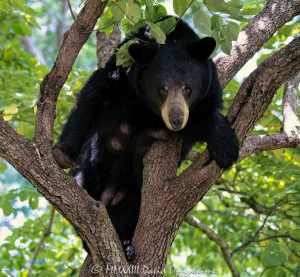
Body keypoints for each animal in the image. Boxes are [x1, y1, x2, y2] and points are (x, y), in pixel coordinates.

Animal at [55, 16, 239, 258]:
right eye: (162, 89)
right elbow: (91, 98)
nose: (176, 120)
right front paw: (63, 153)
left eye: (187, 89)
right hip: (93, 173)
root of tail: (110, 195)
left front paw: (227, 149)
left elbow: (206, 114)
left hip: (134, 193)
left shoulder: (209, 86)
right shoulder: (119, 71)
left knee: (132, 209)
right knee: (84, 181)